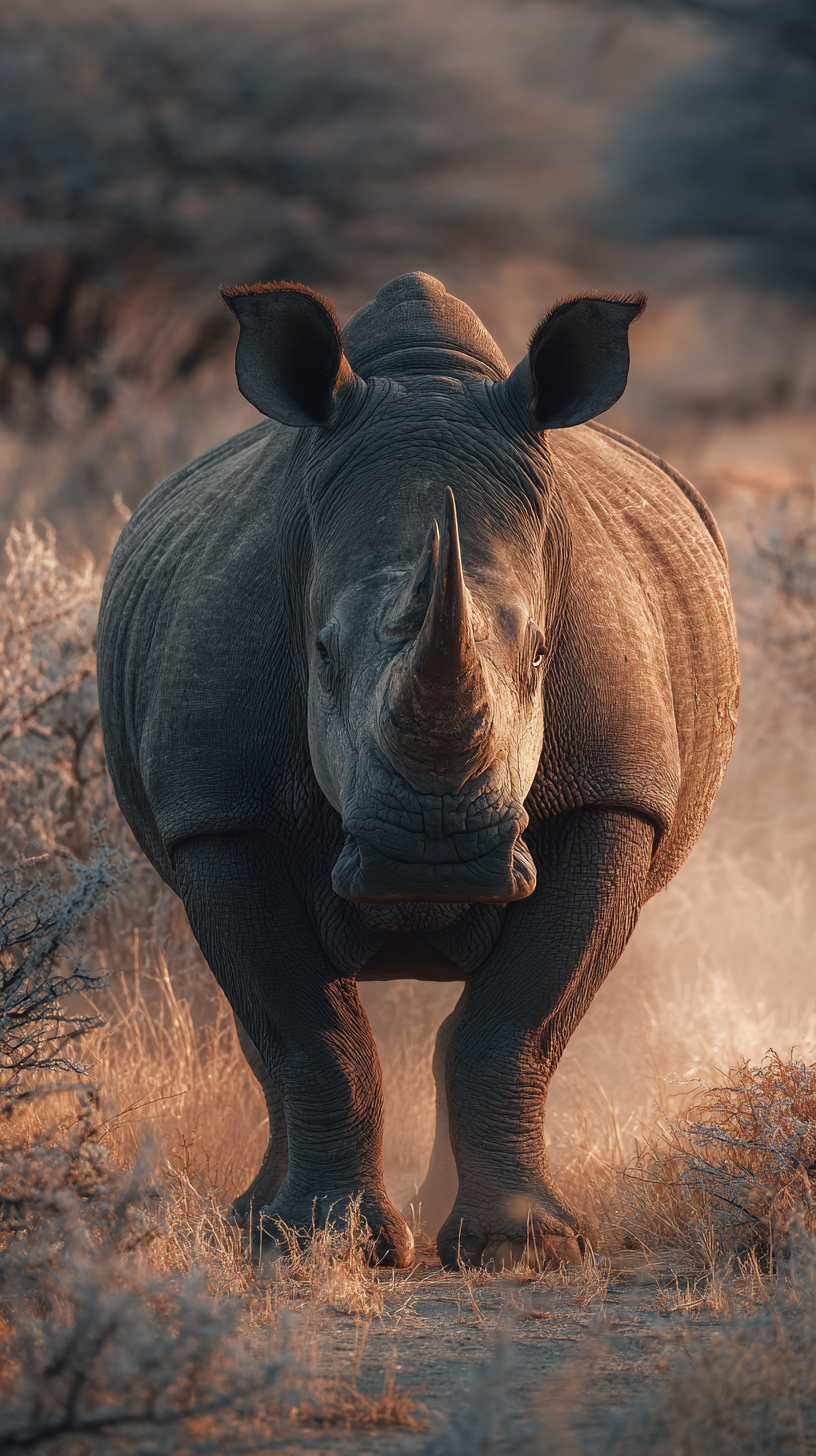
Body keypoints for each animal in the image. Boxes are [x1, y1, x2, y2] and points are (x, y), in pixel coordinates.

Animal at [97, 271, 739, 1269]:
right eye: (320, 655)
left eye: (546, 653)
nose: (435, 855)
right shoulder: (218, 808)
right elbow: (307, 1028)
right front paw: (322, 1245)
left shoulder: (614, 798)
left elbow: (517, 1022)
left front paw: (523, 1250)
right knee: (262, 1027)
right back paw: (257, 1225)